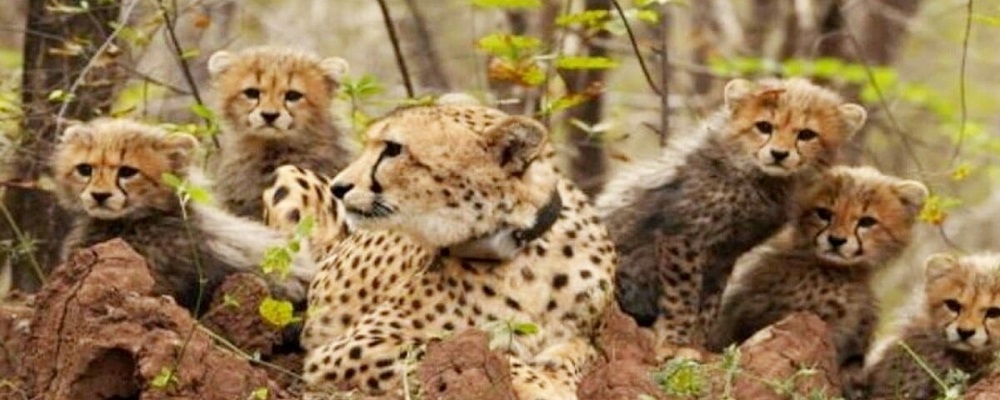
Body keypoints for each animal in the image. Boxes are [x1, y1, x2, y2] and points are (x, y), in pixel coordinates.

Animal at [261, 104, 617, 399]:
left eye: (393, 149)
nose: (338, 187)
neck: (521, 248)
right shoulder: (346, 348)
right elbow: (462, 349)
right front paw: (541, 385)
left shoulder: (588, 336)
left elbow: (578, 353)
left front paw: (555, 377)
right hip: (290, 176)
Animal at [596, 77, 867, 349]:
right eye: (764, 126)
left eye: (807, 134)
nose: (779, 154)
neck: (759, 178)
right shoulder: (684, 236)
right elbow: (683, 295)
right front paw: (676, 341)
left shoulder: (726, 252)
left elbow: (710, 301)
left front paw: (699, 341)